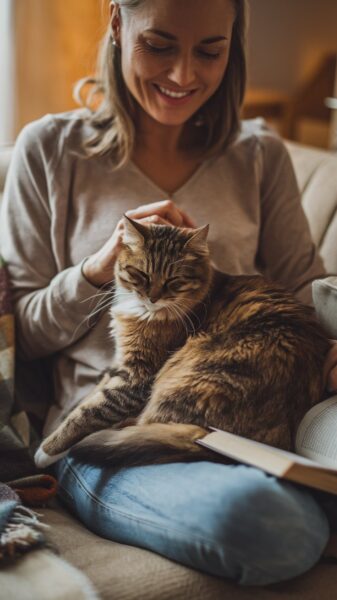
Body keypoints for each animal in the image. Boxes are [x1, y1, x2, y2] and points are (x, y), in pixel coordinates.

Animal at [33, 216, 328, 468]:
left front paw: (47, 450)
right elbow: (91, 397)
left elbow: (91, 410)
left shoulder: (138, 376)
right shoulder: (121, 363)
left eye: (173, 280)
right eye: (141, 275)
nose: (152, 297)